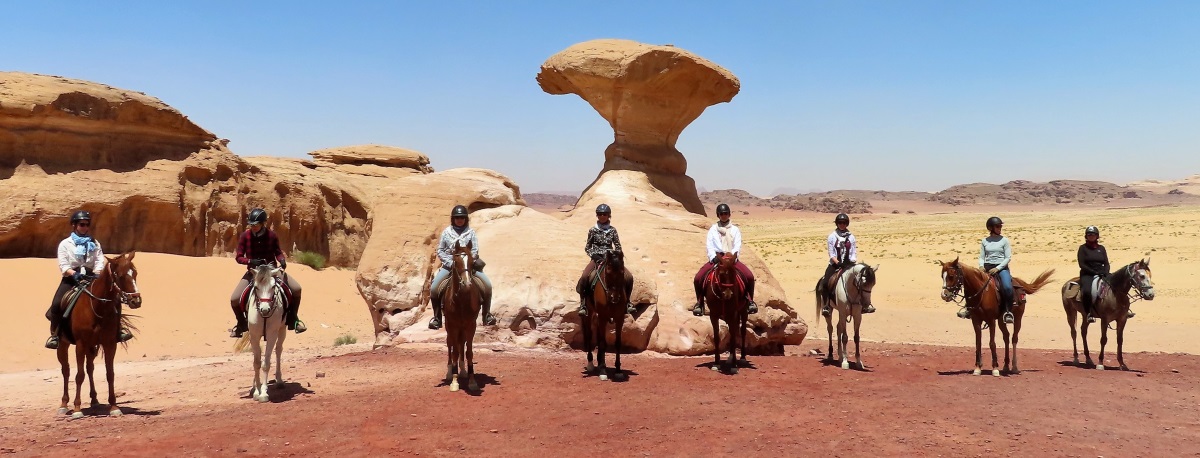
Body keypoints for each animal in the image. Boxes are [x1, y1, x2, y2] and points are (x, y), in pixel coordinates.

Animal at [56, 250, 141, 419]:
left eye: (134, 273)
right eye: (120, 276)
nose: (136, 301)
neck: (98, 307)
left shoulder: (109, 343)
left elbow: (110, 374)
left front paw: (114, 406)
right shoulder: (80, 344)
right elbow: (79, 375)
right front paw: (77, 409)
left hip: (92, 346)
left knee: (90, 368)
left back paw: (94, 400)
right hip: (63, 344)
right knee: (66, 371)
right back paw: (64, 404)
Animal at [441, 237, 482, 390]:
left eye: (471, 262)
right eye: (456, 261)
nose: (467, 284)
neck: (461, 300)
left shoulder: (471, 325)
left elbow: (468, 352)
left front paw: (472, 381)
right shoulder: (452, 326)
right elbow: (454, 351)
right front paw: (454, 381)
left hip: (462, 329)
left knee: (461, 344)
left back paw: (463, 371)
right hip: (449, 327)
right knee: (450, 346)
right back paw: (449, 372)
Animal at [578, 248, 628, 381]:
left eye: (622, 272)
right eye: (608, 272)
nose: (614, 297)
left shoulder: (619, 318)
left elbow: (617, 343)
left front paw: (618, 370)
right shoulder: (603, 317)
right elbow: (602, 343)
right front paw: (603, 371)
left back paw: (599, 360)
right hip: (590, 313)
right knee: (590, 335)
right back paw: (591, 364)